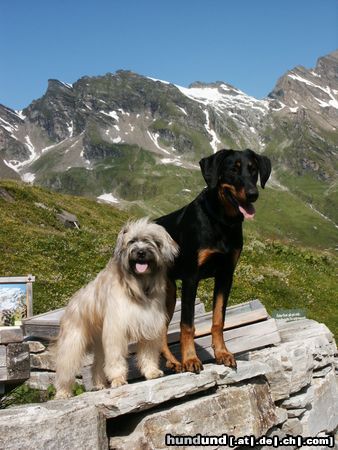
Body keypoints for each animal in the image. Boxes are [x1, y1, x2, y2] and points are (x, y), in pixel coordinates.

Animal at [54, 220, 178, 400]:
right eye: (132, 241)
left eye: (151, 241)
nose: (141, 253)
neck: (137, 286)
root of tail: (72, 301)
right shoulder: (116, 330)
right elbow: (116, 357)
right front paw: (118, 379)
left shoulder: (149, 324)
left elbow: (148, 353)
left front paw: (151, 371)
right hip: (73, 341)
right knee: (65, 366)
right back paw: (63, 391)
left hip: (99, 342)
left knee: (97, 364)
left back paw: (100, 384)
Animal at [156, 148, 272, 372]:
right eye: (233, 169)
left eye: (253, 170)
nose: (253, 194)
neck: (221, 221)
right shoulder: (191, 277)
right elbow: (187, 324)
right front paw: (191, 359)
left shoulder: (225, 275)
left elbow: (219, 320)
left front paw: (222, 353)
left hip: (170, 294)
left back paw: (172, 362)